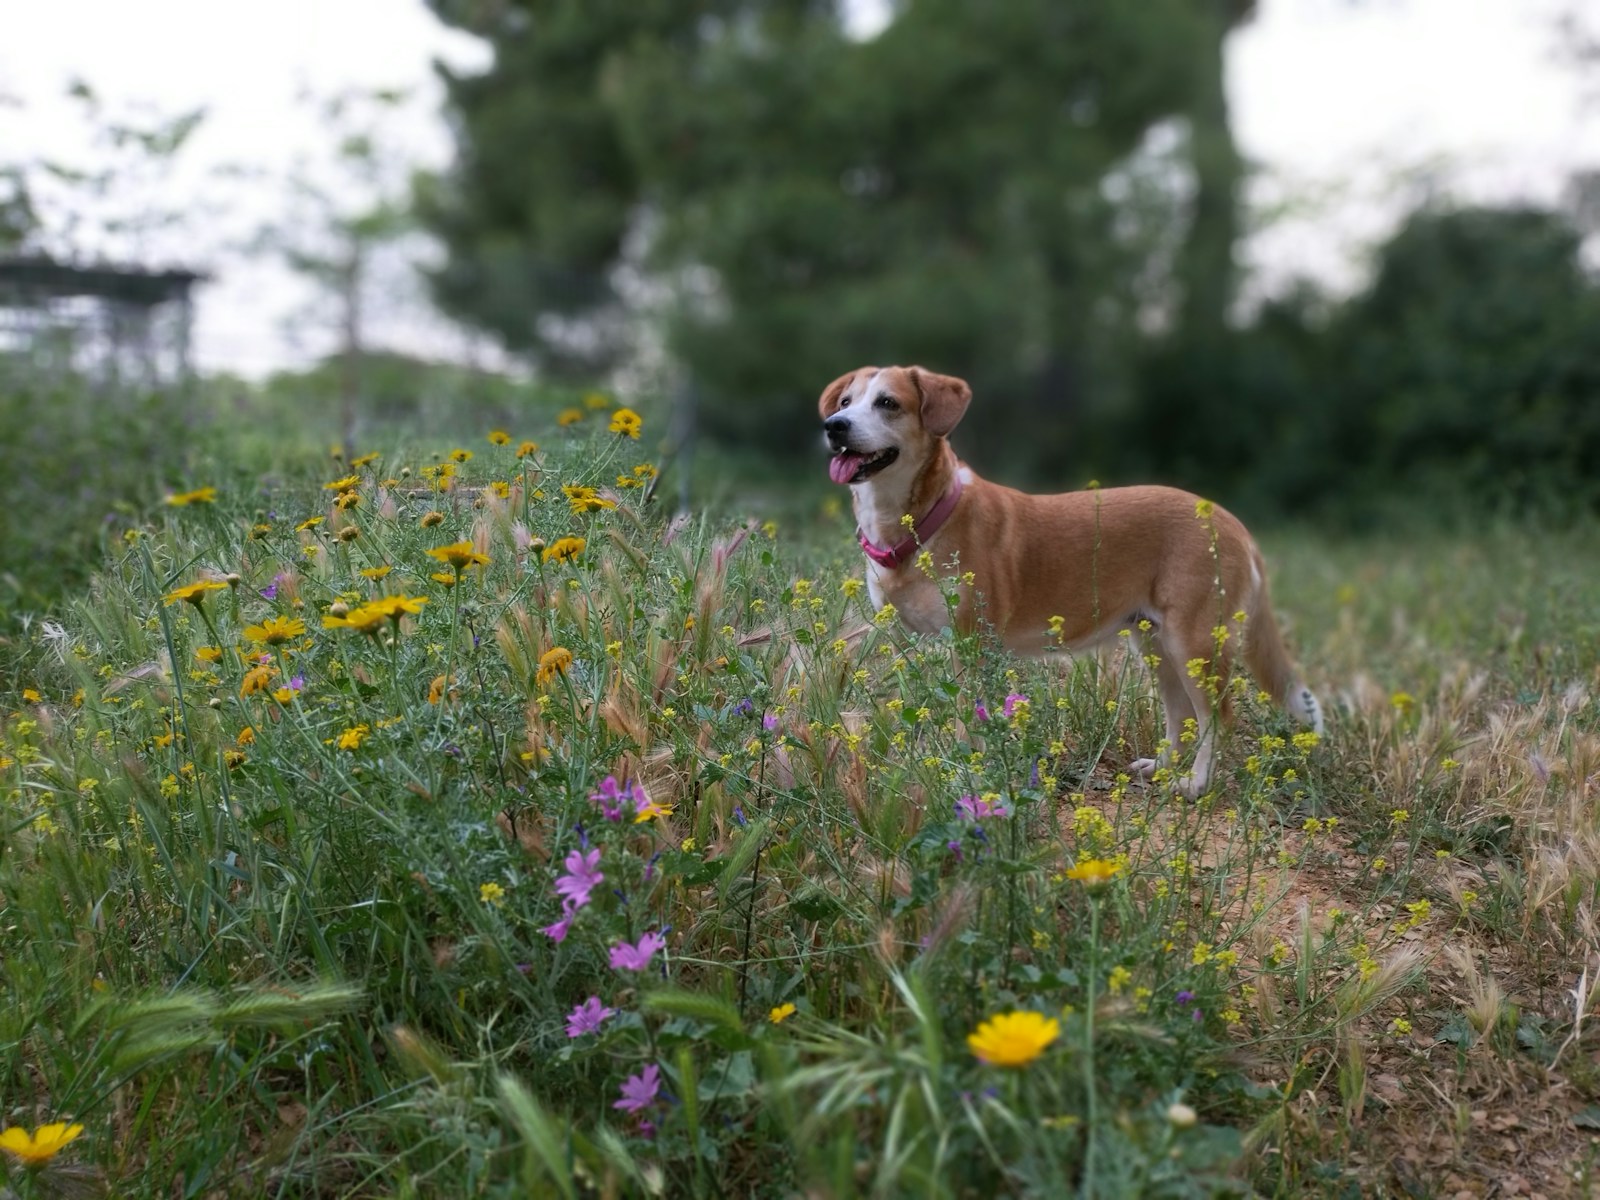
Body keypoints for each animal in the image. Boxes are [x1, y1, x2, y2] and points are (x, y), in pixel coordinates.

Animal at [819, 366, 1318, 800]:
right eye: (845, 401)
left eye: (888, 403)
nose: (834, 426)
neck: (924, 518)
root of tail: (1232, 522)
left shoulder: (971, 644)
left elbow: (968, 722)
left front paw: (966, 776)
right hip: (1155, 642)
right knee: (1179, 714)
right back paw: (1160, 768)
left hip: (1193, 642)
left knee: (1218, 717)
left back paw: (1195, 785)